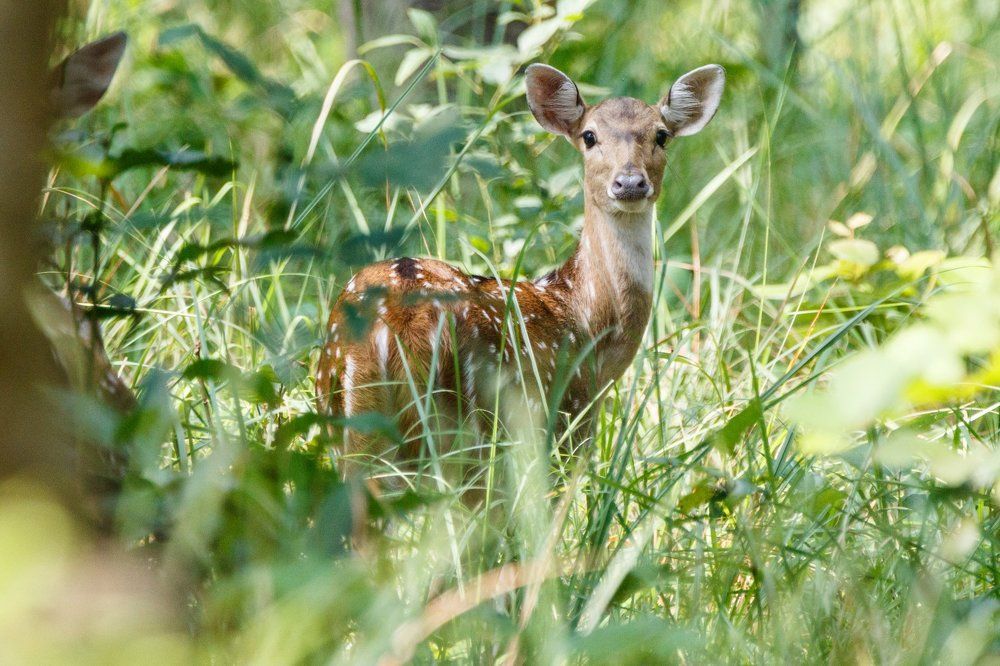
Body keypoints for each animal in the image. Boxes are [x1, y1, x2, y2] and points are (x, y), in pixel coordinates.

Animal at [316, 62, 725, 484]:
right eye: (589, 136)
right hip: (470, 432)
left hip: (348, 422)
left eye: (661, 135)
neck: (590, 324)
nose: (629, 181)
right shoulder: (569, 416)